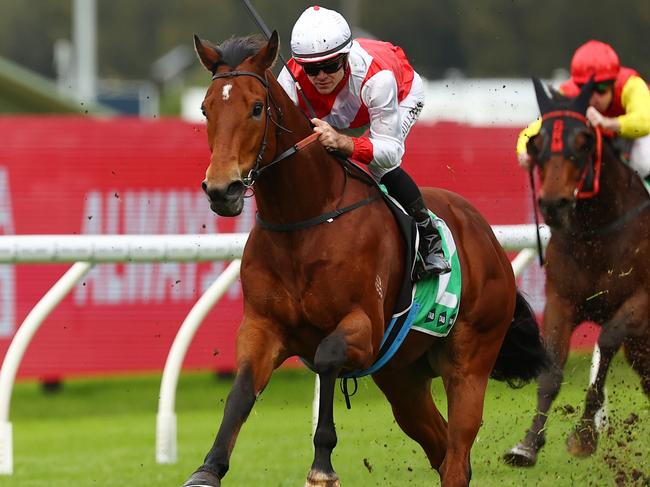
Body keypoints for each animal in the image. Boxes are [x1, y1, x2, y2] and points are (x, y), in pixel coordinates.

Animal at [186, 32, 548, 486]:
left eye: (256, 107)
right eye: (205, 108)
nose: (222, 189)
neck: (305, 219)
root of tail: (487, 237)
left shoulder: (366, 327)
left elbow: (327, 357)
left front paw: (322, 464)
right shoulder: (262, 326)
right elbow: (242, 389)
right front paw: (209, 467)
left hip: (470, 362)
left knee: (457, 451)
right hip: (402, 378)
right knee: (445, 451)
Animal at [506, 78, 648, 468]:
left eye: (584, 142)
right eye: (536, 143)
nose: (554, 203)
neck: (596, 234)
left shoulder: (640, 303)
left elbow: (606, 342)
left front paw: (584, 435)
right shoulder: (561, 299)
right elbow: (552, 369)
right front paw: (527, 445)